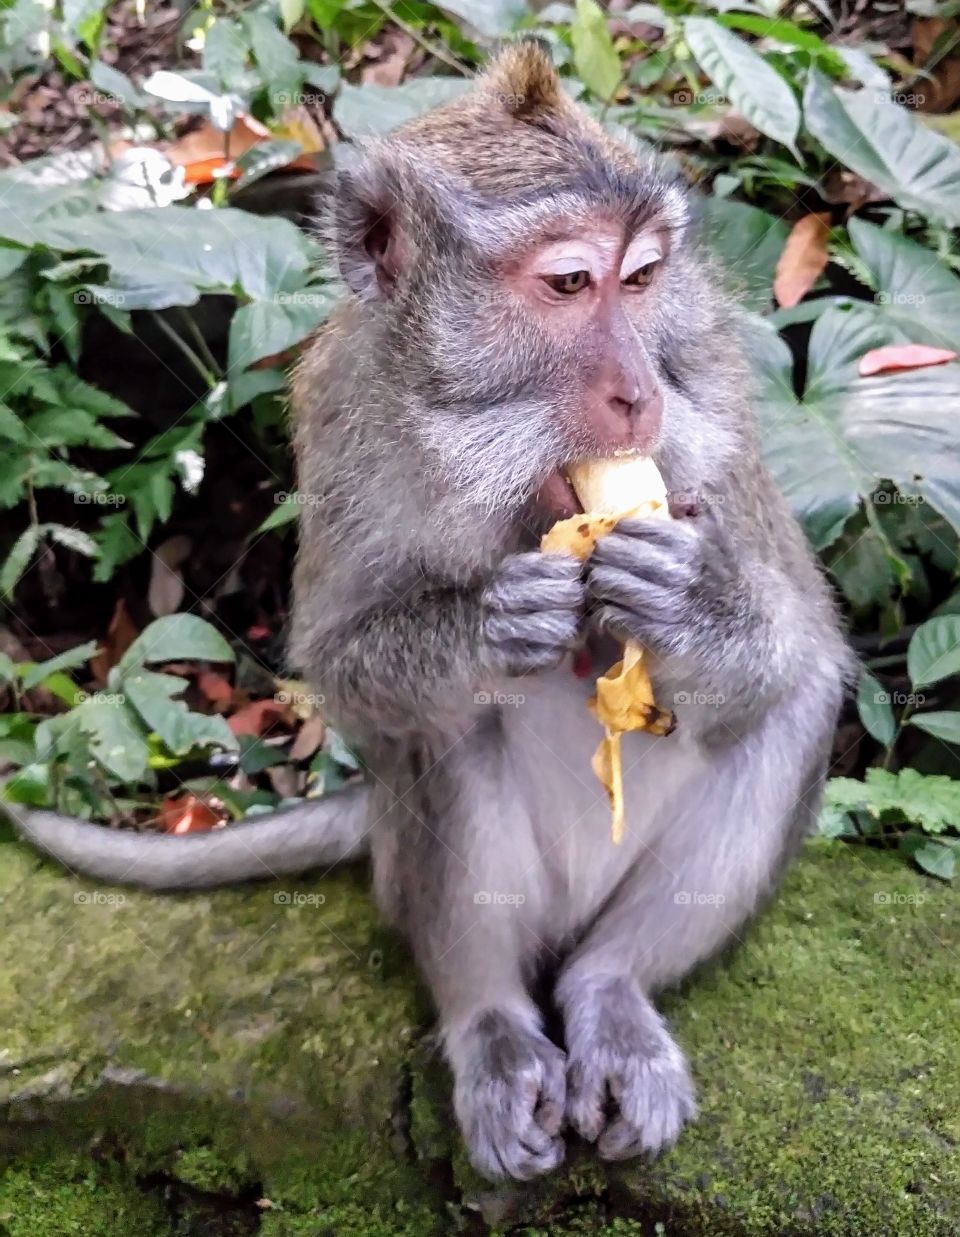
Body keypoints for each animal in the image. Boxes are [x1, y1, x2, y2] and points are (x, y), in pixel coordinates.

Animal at [9, 41, 846, 1177]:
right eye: (571, 283)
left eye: (640, 281)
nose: (637, 395)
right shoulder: (342, 405)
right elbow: (343, 658)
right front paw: (487, 622)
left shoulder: (713, 383)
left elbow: (794, 640)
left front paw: (688, 601)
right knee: (440, 736)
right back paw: (489, 1021)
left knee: (794, 706)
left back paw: (613, 989)